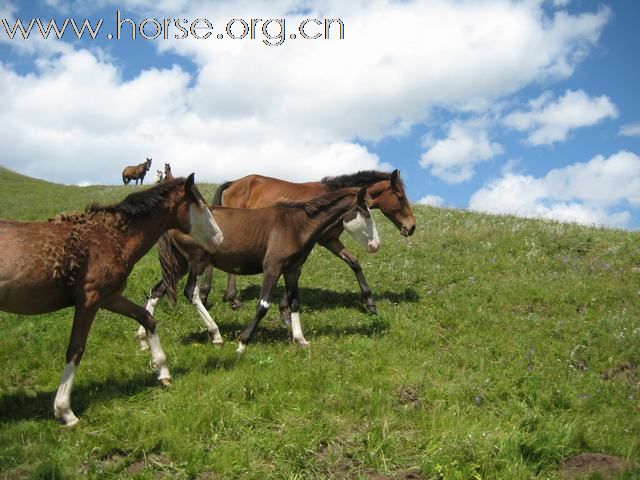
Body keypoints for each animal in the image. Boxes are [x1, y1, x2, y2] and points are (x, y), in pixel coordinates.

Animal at [0, 174, 225, 426]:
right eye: (201, 205)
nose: (220, 238)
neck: (112, 237)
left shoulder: (110, 298)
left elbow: (147, 319)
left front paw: (163, 372)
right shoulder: (89, 301)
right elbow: (75, 349)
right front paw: (65, 411)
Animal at [139, 186, 380, 354]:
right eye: (366, 213)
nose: (375, 245)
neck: (296, 224)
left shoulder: (292, 270)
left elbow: (294, 302)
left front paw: (300, 339)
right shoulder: (272, 267)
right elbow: (263, 305)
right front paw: (242, 343)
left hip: (179, 264)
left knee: (157, 290)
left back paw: (143, 336)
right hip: (197, 261)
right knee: (191, 292)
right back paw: (216, 334)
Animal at [200, 169, 416, 316]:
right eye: (399, 196)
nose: (411, 226)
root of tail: (233, 182)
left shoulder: (330, 240)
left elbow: (354, 262)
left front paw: (370, 302)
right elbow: (297, 270)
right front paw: (285, 309)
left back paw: (228, 297)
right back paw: (214, 295)